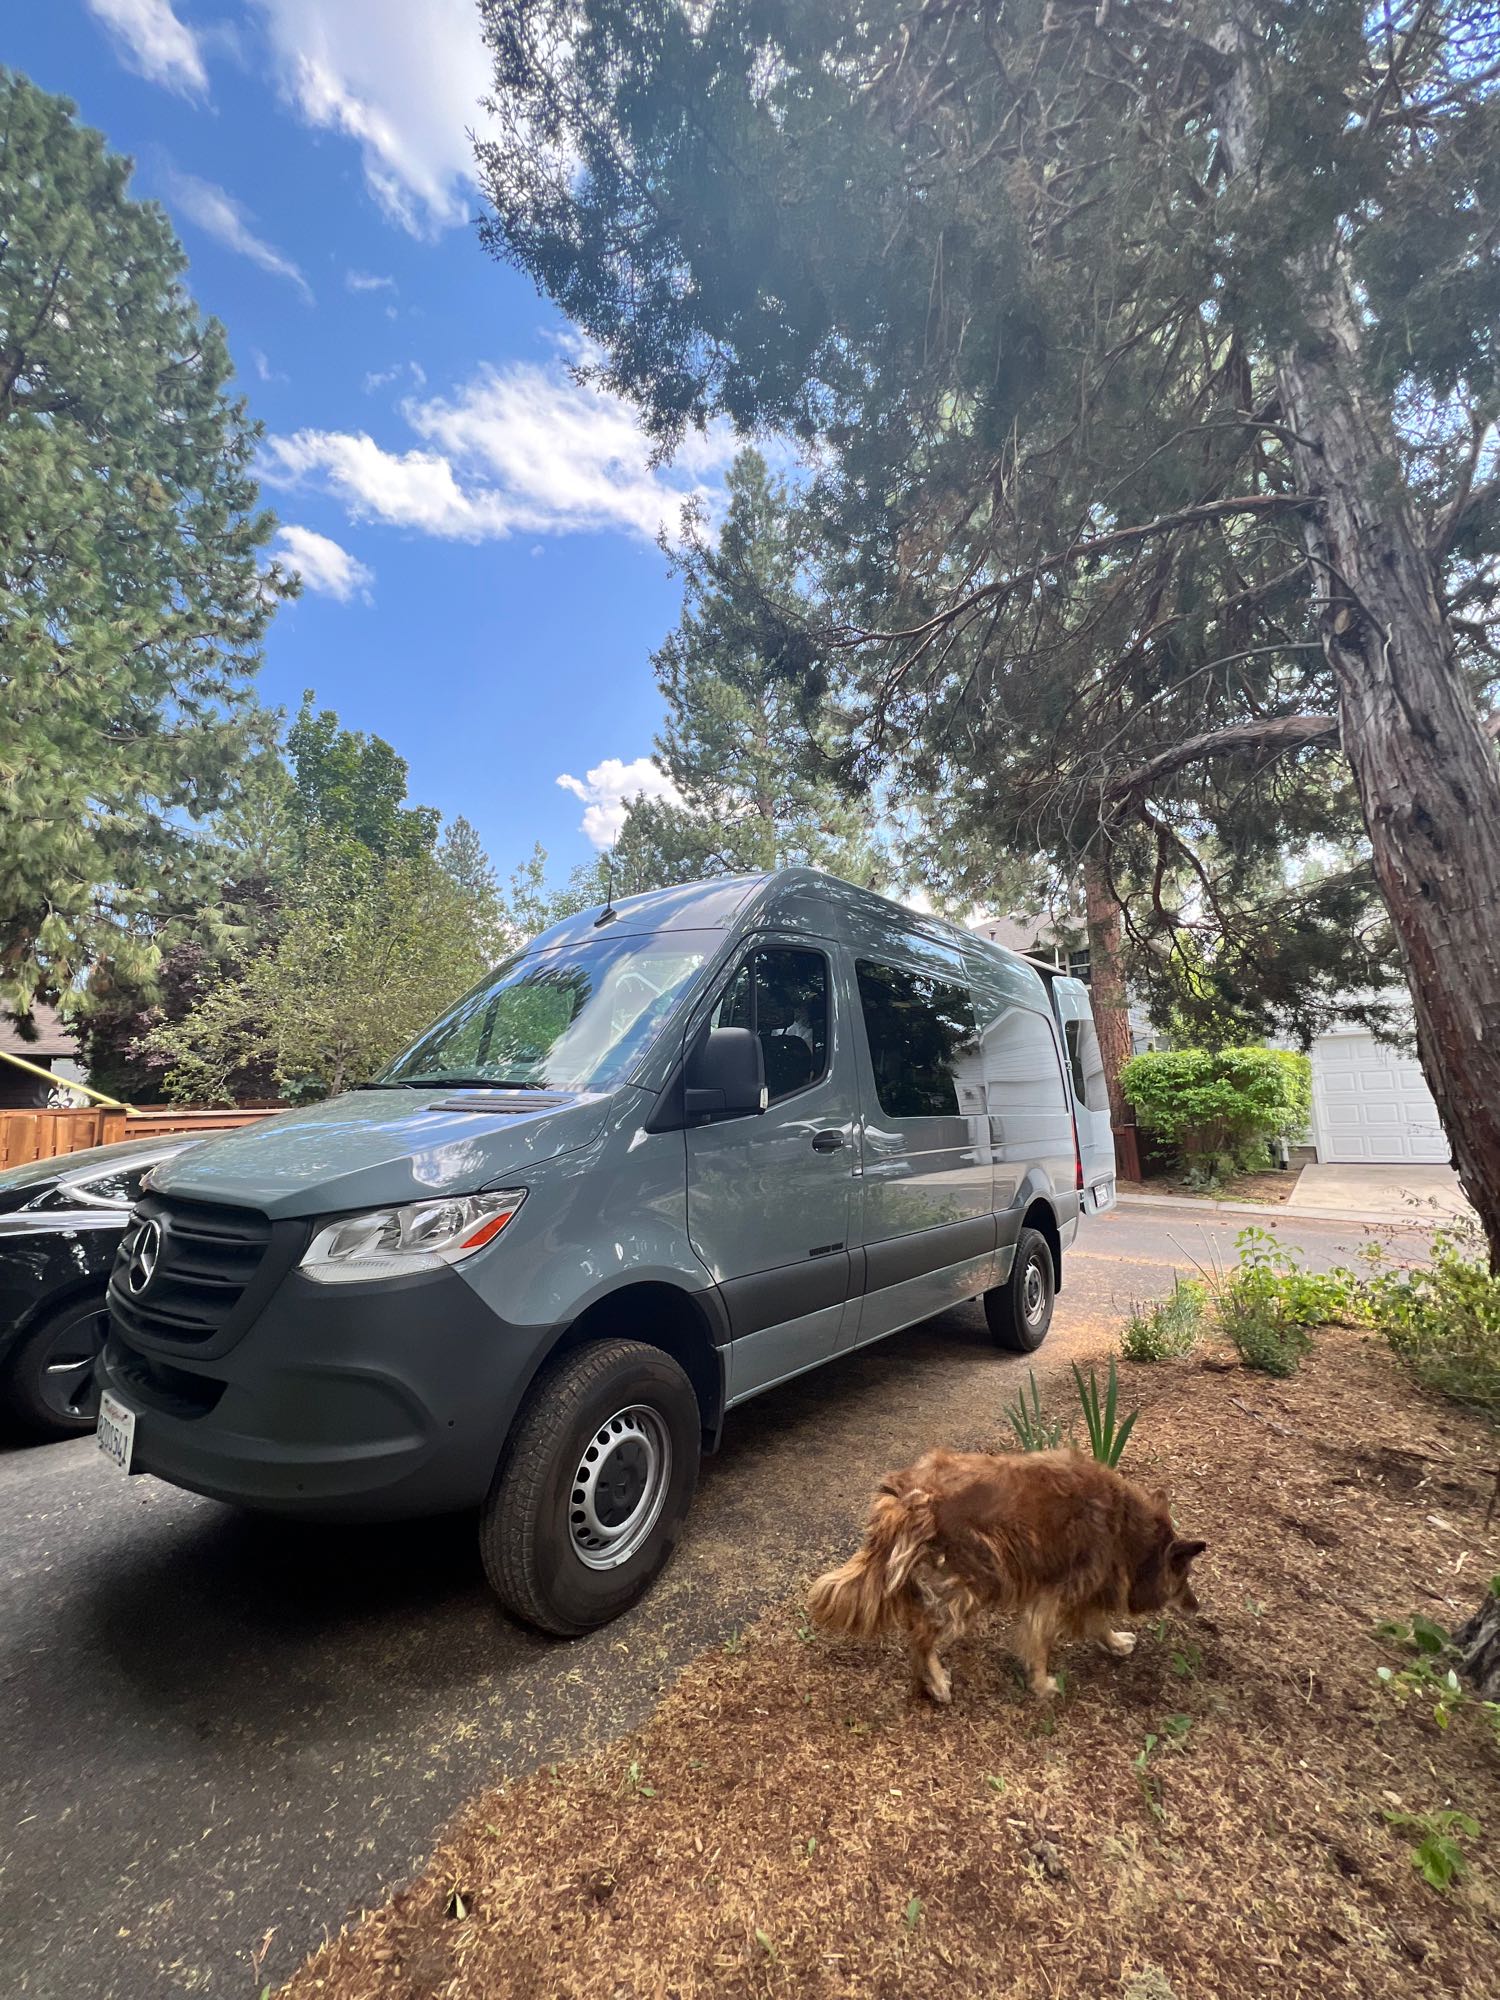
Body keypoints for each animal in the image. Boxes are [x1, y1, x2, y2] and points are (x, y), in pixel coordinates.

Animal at [812, 1448, 1208, 1696]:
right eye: (1184, 1577)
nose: (1197, 1606)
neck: (1127, 1529)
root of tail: (912, 1491)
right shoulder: (1058, 1590)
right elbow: (1043, 1641)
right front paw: (1043, 1684)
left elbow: (1097, 1621)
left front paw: (1114, 1643)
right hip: (974, 1582)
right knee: (923, 1633)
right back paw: (937, 1683)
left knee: (914, 1622)